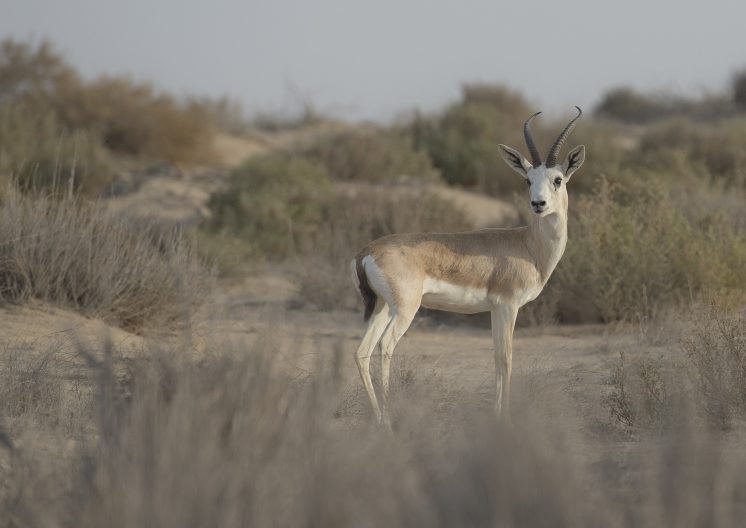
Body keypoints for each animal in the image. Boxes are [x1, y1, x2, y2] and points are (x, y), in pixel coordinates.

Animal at [348, 107, 580, 428]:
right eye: (528, 179)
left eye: (557, 179)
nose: (539, 203)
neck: (527, 244)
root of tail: (366, 252)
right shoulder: (509, 306)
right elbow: (506, 358)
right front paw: (506, 418)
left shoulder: (495, 310)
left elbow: (496, 356)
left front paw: (496, 413)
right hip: (405, 309)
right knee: (385, 347)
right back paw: (390, 420)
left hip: (382, 307)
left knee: (362, 352)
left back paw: (379, 419)